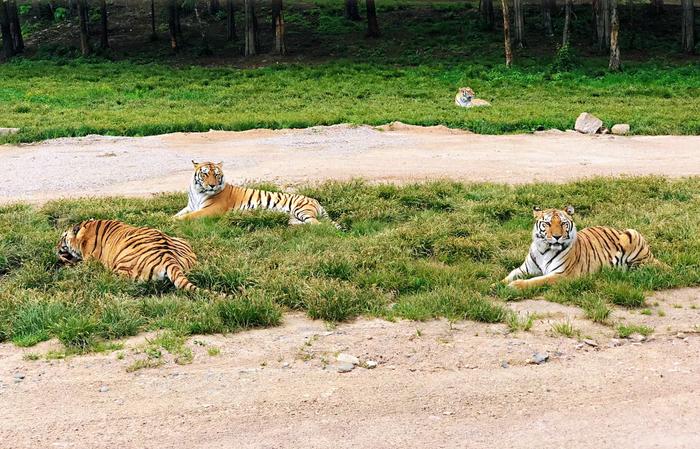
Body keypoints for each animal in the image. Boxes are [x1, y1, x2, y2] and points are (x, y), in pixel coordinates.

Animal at [57, 219, 205, 292]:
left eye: (62, 237)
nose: (56, 247)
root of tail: (169, 257)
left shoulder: (89, 262)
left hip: (120, 269)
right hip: (182, 241)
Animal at [176, 159, 344, 229]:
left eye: (217, 175)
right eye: (205, 174)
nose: (212, 185)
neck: (198, 192)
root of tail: (317, 202)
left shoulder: (212, 209)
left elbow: (190, 216)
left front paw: (175, 221)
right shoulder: (190, 206)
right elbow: (179, 213)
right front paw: (171, 218)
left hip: (301, 210)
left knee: (318, 224)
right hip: (295, 216)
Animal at [504, 205, 660, 288]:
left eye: (563, 223)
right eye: (547, 223)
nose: (556, 236)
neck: (544, 249)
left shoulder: (562, 274)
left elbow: (537, 281)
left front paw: (514, 286)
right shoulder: (524, 269)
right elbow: (509, 275)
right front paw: (499, 285)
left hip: (632, 234)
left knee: (644, 268)